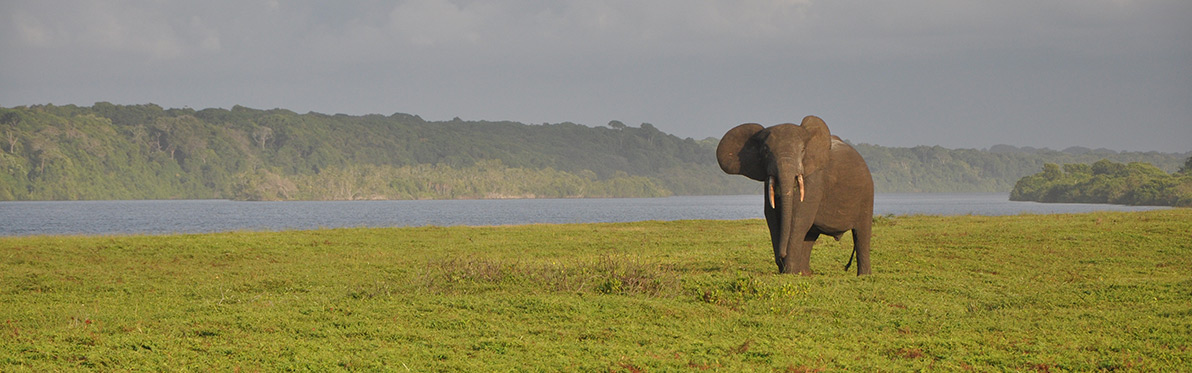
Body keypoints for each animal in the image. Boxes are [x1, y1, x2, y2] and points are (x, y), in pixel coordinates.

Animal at [715, 114, 877, 274]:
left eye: (803, 150)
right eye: (765, 151)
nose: (781, 256)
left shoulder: (814, 179)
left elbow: (800, 217)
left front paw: (789, 272)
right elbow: (772, 216)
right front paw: (787, 271)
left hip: (867, 193)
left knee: (861, 233)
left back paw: (863, 276)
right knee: (810, 235)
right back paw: (804, 274)